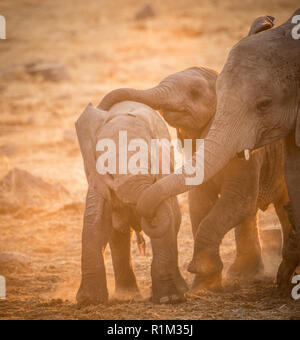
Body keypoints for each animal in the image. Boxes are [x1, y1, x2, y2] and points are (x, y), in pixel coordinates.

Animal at [76, 101, 186, 306]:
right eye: (108, 171)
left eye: (150, 164)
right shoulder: (96, 180)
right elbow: (95, 223)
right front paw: (89, 301)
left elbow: (166, 225)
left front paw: (169, 299)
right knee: (118, 235)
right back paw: (127, 295)